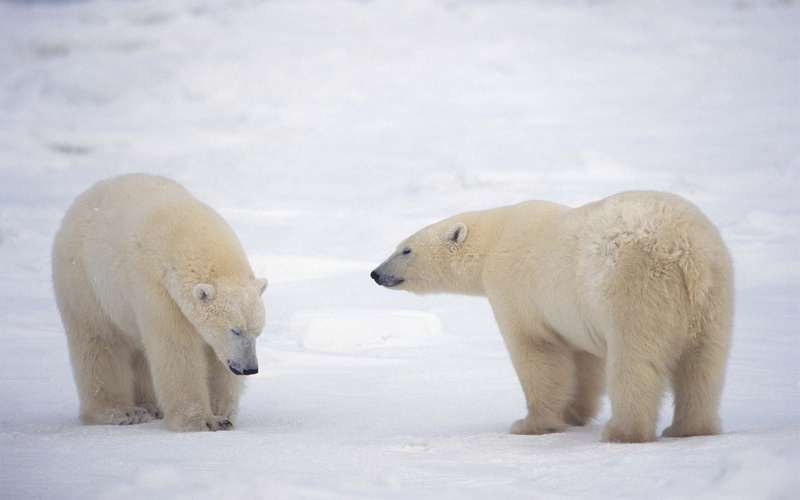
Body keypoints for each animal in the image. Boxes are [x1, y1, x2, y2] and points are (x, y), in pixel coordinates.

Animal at [52, 174, 268, 432]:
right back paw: (120, 412)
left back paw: (150, 406)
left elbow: (215, 356)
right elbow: (174, 345)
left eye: (257, 332)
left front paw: (222, 414)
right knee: (98, 340)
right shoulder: (152, 283)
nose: (249, 368)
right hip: (83, 279)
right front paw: (199, 420)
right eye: (235, 330)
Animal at [371, 191, 733, 443]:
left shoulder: (515, 287)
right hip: (713, 295)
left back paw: (623, 431)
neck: (496, 237)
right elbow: (584, 360)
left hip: (635, 287)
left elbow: (537, 352)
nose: (376, 273)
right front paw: (573, 414)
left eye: (405, 249)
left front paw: (530, 424)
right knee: (704, 363)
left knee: (634, 361)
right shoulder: (576, 311)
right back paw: (690, 428)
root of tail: (685, 252)